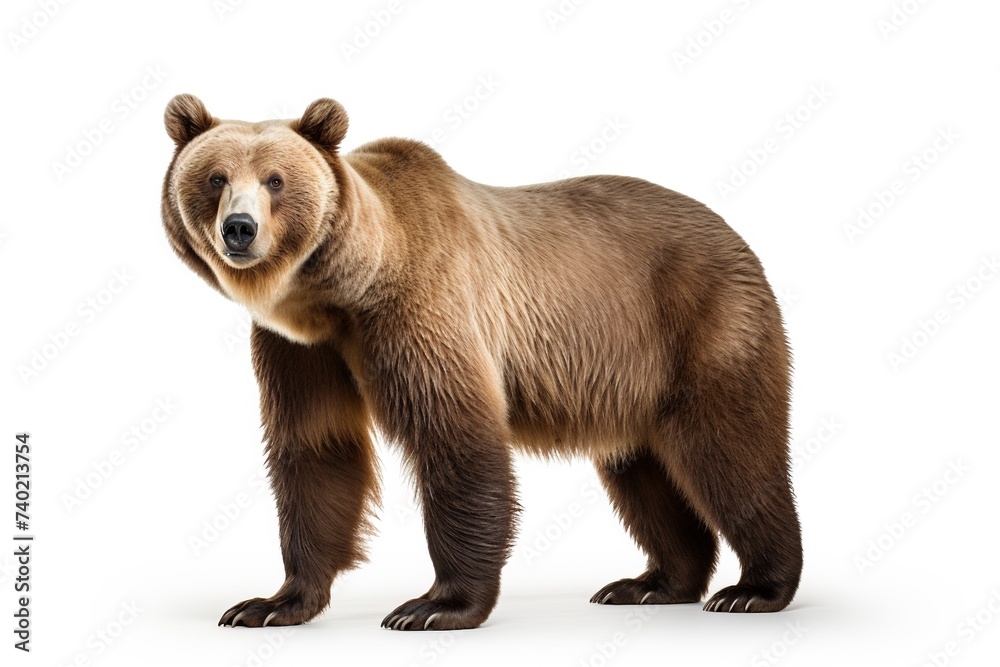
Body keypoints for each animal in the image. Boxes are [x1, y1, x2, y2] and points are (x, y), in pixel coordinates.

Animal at [161, 94, 802, 631]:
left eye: (275, 180)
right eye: (216, 177)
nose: (239, 229)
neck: (339, 292)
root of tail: (735, 235)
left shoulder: (421, 307)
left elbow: (455, 438)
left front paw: (434, 605)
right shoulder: (301, 349)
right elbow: (316, 449)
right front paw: (270, 603)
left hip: (702, 324)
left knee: (732, 452)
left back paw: (754, 589)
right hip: (631, 379)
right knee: (642, 470)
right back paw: (652, 583)